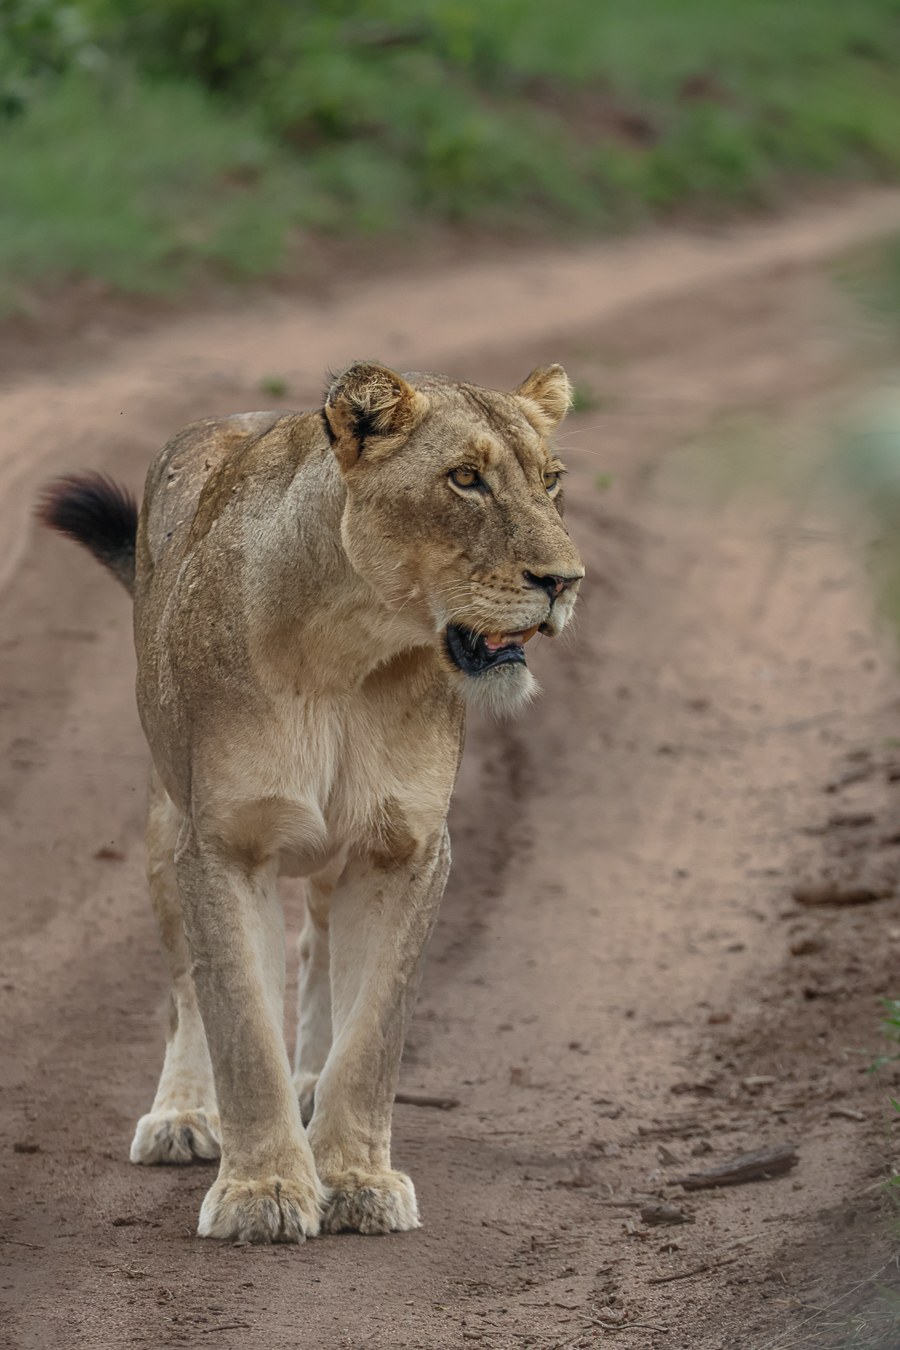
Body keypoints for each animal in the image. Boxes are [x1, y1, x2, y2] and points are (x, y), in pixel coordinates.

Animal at [38, 361, 584, 1243]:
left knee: (318, 948)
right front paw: (262, 1191)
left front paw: (355, 1177)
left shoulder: (408, 848)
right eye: (465, 479)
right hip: (163, 818)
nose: (565, 583)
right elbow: (238, 1021)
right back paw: (184, 1116)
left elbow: (375, 1030)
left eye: (553, 481)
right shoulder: (221, 843)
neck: (349, 651)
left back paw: (310, 1087)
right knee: (186, 991)